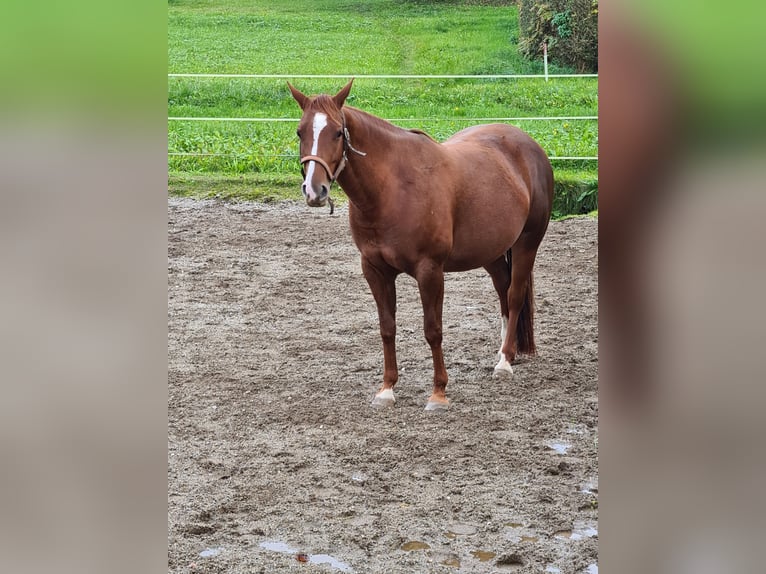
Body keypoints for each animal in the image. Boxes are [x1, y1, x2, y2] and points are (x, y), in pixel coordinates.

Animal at [288, 79, 553, 410]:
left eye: (338, 132)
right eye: (300, 132)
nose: (314, 190)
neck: (392, 189)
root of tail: (530, 145)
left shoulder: (430, 271)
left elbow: (433, 330)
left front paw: (438, 393)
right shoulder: (374, 270)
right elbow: (387, 328)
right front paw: (386, 389)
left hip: (527, 243)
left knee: (515, 295)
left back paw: (504, 362)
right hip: (491, 252)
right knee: (503, 291)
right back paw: (508, 352)